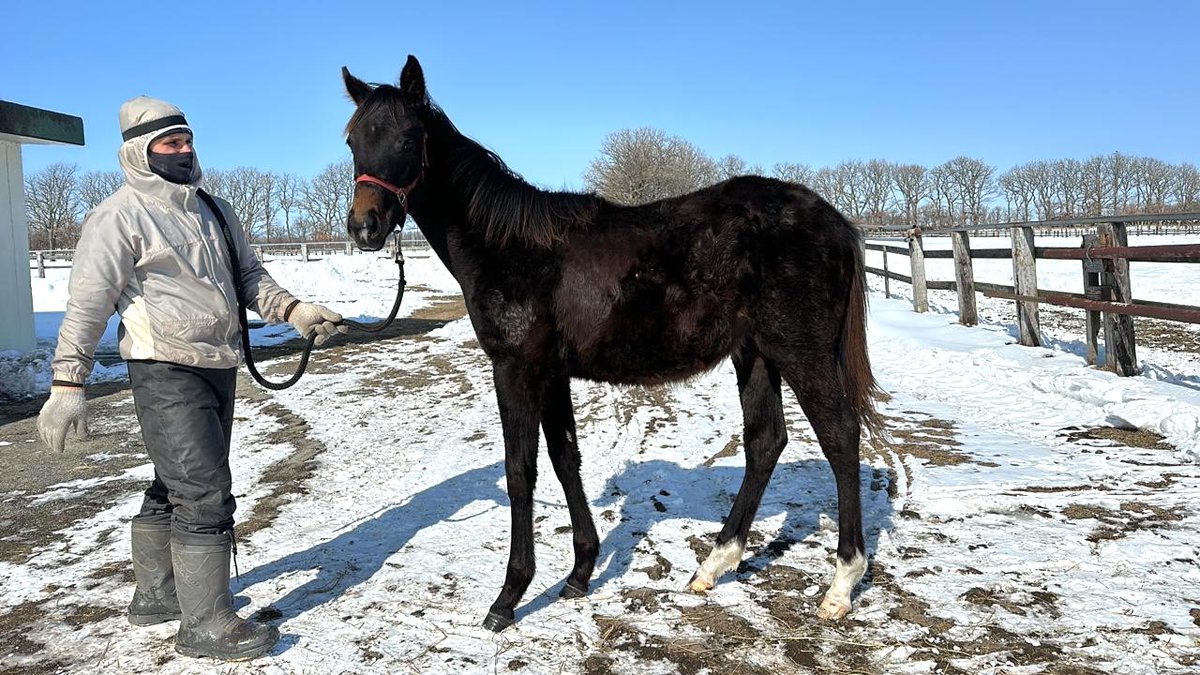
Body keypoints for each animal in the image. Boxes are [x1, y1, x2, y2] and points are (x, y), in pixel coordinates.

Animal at [338, 55, 883, 629]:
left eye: (407, 138)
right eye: (353, 140)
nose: (365, 228)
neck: (509, 247)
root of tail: (835, 222)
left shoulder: (515, 369)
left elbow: (520, 471)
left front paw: (508, 597)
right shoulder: (551, 372)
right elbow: (564, 459)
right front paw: (579, 573)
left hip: (800, 353)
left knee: (839, 436)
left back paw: (840, 585)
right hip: (754, 354)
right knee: (765, 441)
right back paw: (713, 566)